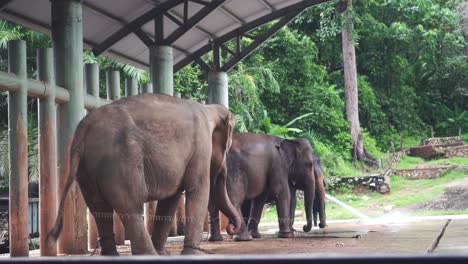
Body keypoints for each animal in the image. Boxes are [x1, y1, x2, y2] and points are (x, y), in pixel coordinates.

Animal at [48, 94, 241, 255]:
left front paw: (165, 253)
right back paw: (148, 254)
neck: (210, 108)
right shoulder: (200, 146)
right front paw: (191, 255)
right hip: (121, 160)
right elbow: (198, 190)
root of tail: (83, 128)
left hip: (87, 167)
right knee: (132, 204)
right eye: (227, 147)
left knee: (99, 207)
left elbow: (171, 199)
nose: (232, 228)